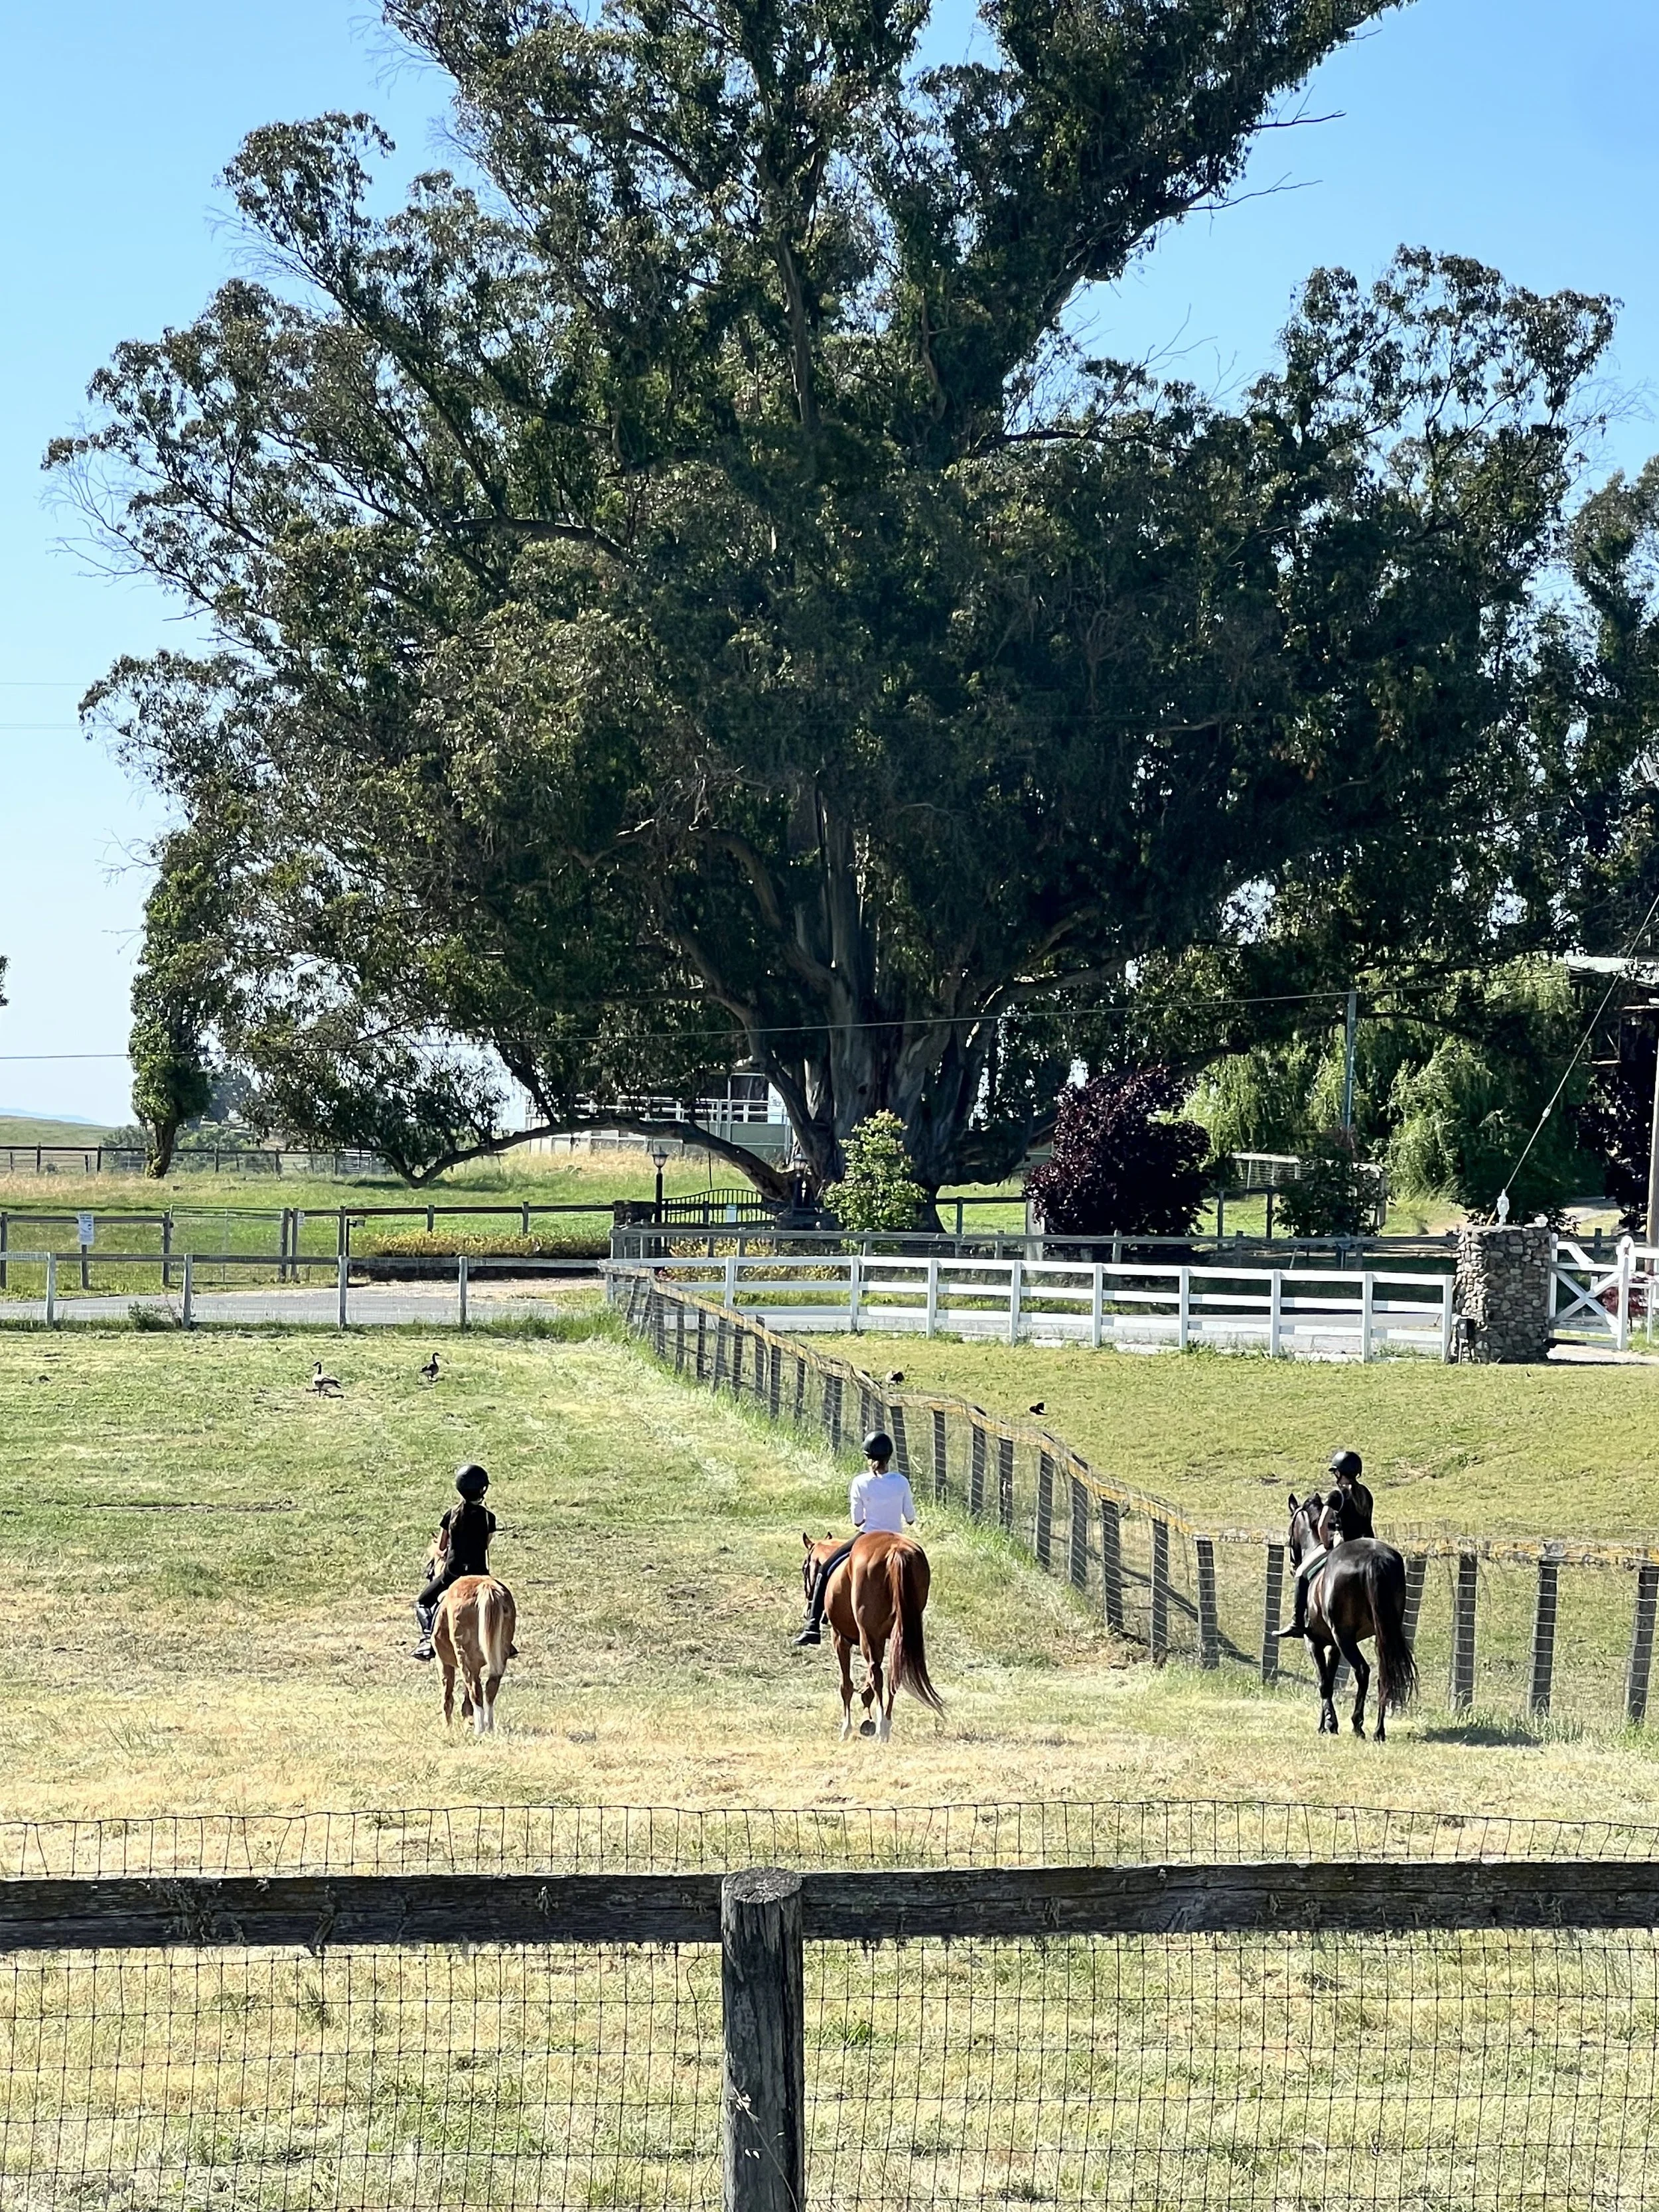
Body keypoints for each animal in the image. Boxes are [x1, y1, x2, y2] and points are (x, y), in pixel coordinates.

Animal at [433, 1573, 517, 1735]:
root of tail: (486, 1586)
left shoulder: (443, 1663)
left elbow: (448, 1696)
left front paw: (448, 1727)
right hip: (499, 1657)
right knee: (490, 1689)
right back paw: (489, 1727)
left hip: (464, 1657)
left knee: (475, 1690)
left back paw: (479, 1730)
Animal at [801, 1531, 944, 1741]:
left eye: (804, 1568)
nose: (807, 1611)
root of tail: (896, 1551)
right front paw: (866, 1721)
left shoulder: (841, 1638)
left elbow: (847, 1685)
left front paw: (847, 1729)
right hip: (896, 1637)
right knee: (892, 1676)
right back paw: (886, 1723)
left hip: (867, 1637)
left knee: (878, 1676)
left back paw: (882, 1727)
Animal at [1285, 1490, 1417, 1740]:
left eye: (1290, 1532)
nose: (1292, 1565)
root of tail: (1375, 1558)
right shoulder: (1334, 1645)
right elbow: (1330, 1679)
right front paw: (1327, 1723)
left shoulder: (1315, 1641)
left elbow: (1324, 1682)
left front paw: (1329, 1723)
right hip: (1383, 1633)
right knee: (1383, 1674)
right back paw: (1379, 1731)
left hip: (1345, 1637)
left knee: (1363, 1671)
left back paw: (1358, 1725)